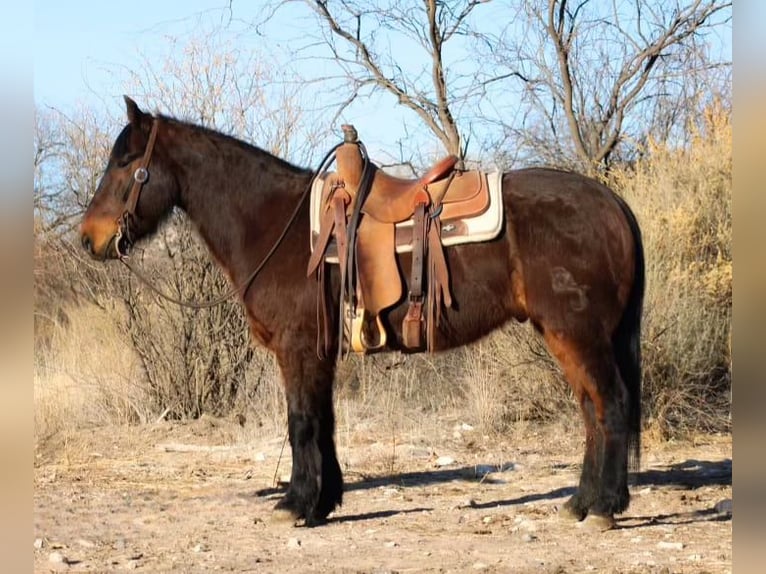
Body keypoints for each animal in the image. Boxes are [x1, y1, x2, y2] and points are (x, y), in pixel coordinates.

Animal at [80, 97, 644, 530]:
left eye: (126, 163)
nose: (90, 238)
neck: (274, 225)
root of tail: (611, 202)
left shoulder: (298, 348)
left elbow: (302, 422)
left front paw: (296, 505)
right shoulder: (320, 351)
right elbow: (324, 422)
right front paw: (324, 501)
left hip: (579, 334)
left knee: (610, 404)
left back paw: (603, 509)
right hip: (567, 335)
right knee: (591, 410)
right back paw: (580, 502)